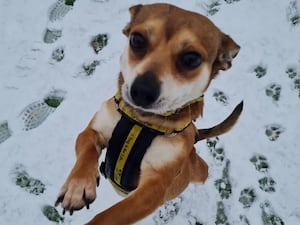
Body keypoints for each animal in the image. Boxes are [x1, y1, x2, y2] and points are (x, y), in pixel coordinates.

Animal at [55, 3, 241, 225]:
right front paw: (77, 186)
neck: (142, 121)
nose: (142, 91)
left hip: (196, 168)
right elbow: (86, 150)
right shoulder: (93, 131)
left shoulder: (153, 188)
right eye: (136, 39)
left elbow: (107, 216)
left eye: (191, 59)